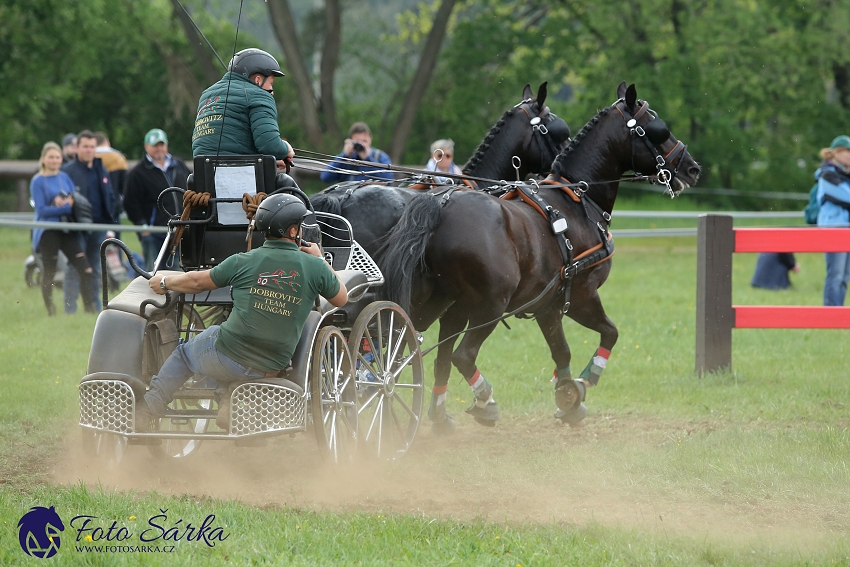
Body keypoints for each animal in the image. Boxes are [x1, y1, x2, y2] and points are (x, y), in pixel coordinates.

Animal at [380, 82, 700, 430]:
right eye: (657, 128)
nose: (692, 168)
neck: (577, 200)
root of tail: (440, 207)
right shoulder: (582, 295)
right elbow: (609, 333)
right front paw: (583, 382)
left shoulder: (548, 304)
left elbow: (561, 352)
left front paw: (567, 395)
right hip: (489, 305)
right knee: (459, 355)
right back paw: (484, 401)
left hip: (439, 300)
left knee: (415, 350)